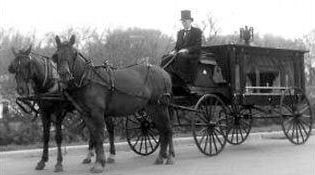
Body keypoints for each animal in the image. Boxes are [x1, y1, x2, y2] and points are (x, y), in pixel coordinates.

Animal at [52, 34, 175, 173]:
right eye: (56, 56)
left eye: (74, 54)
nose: (64, 75)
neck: (88, 80)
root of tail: (164, 73)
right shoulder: (86, 114)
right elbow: (94, 136)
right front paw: (98, 161)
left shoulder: (98, 113)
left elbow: (99, 136)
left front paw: (99, 163)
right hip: (152, 107)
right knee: (162, 130)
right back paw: (161, 157)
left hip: (160, 106)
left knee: (168, 129)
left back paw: (170, 157)